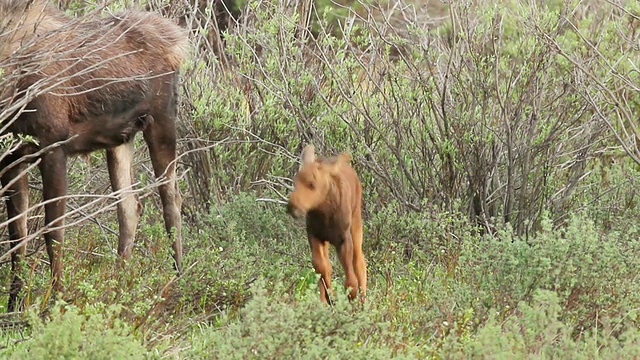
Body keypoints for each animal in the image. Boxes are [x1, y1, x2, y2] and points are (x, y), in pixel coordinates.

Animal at [0, 0, 189, 310]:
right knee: (130, 207)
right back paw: (118, 286)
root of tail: (177, 39)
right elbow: (18, 235)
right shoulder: (12, 158)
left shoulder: (53, 145)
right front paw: (15, 305)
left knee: (171, 200)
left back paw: (177, 280)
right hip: (120, 139)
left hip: (161, 121)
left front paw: (55, 302)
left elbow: (54, 232)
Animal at [288, 145, 368, 306]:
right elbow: (322, 267)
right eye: (295, 182)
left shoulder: (343, 239)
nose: (292, 206)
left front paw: (351, 294)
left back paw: (363, 301)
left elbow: (350, 275)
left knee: (359, 261)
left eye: (312, 184)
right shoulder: (314, 235)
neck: (324, 213)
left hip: (356, 224)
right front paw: (329, 295)